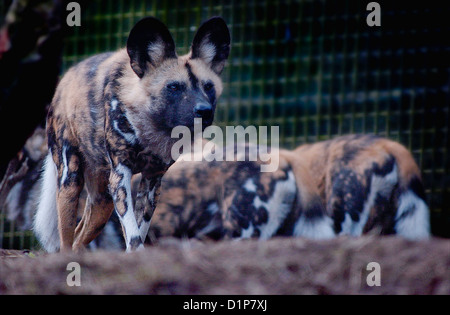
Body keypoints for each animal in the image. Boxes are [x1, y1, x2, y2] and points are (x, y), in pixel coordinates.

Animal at [34, 17, 232, 253]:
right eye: (174, 87)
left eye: (208, 87)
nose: (205, 110)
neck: (151, 130)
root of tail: (66, 79)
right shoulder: (121, 175)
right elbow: (133, 232)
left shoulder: (153, 180)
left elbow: (140, 227)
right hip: (70, 180)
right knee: (66, 239)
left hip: (102, 200)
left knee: (79, 237)